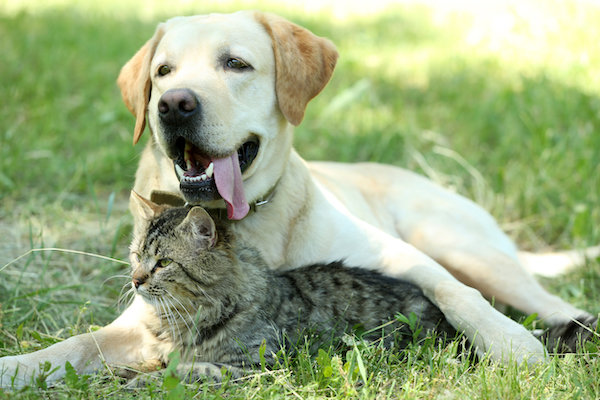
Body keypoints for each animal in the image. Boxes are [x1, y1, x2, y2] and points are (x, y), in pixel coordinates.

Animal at [126, 192, 454, 382]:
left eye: (163, 263)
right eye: (137, 257)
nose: (136, 280)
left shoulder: (256, 365)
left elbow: (191, 370)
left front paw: (143, 381)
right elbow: (150, 363)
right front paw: (131, 372)